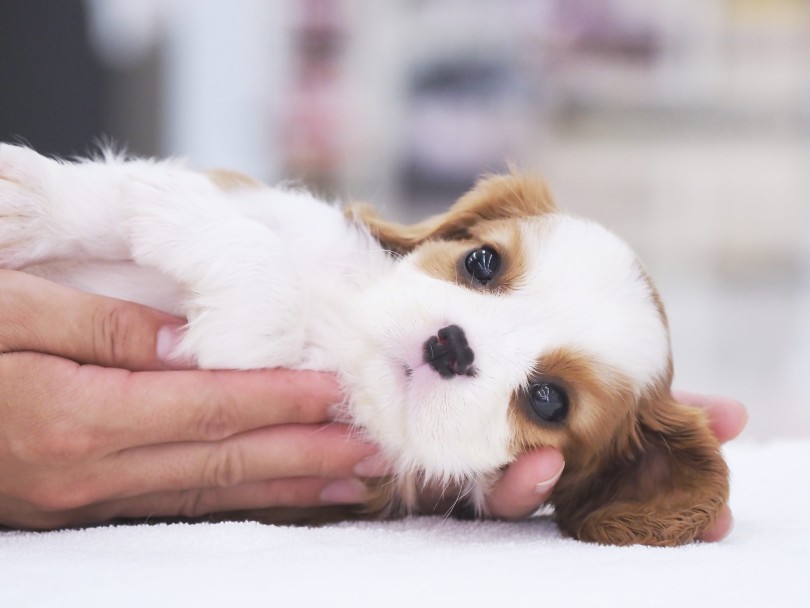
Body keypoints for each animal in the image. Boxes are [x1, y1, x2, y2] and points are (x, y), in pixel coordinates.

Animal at [0, 145, 724, 548]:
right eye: (483, 262)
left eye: (548, 401)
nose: (452, 347)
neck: (345, 324)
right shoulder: (264, 206)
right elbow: (116, 198)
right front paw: (31, 200)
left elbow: (263, 309)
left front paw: (166, 208)